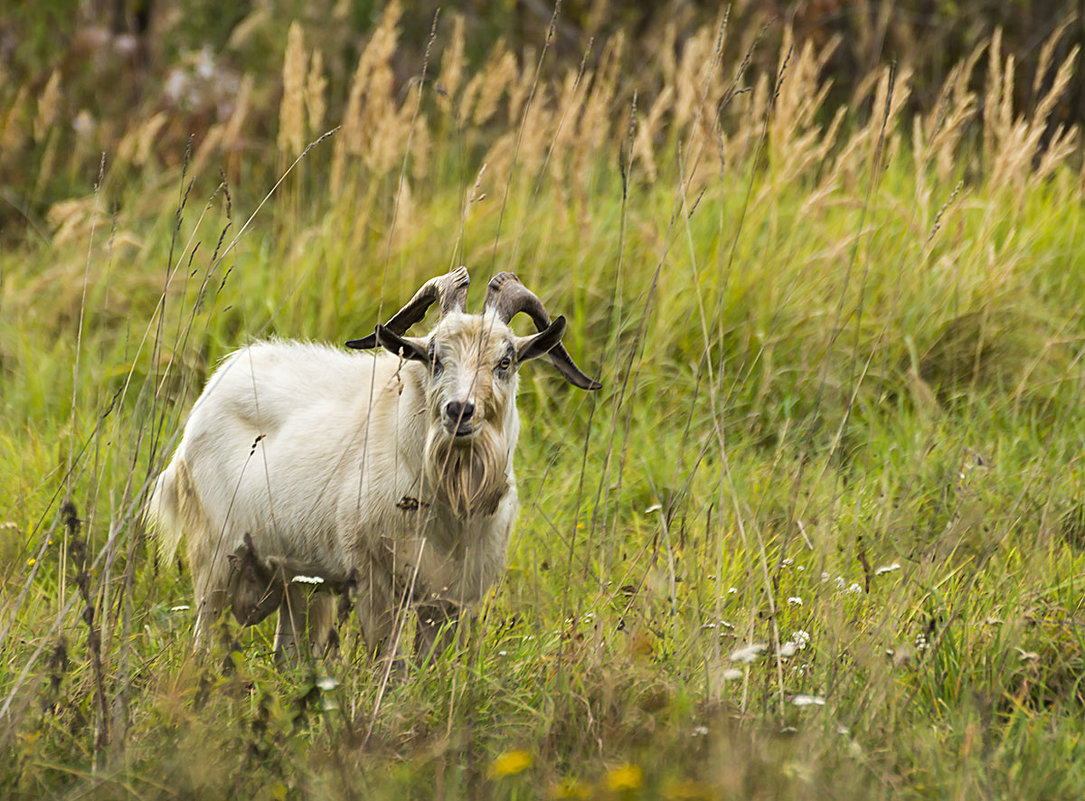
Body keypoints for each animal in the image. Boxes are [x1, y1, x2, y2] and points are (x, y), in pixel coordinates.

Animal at [144, 264, 598, 659]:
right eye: (434, 357)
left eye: (505, 361)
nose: (459, 411)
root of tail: (212, 390)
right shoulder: (375, 584)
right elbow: (389, 664)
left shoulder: (450, 601)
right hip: (216, 560)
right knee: (204, 641)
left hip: (298, 584)